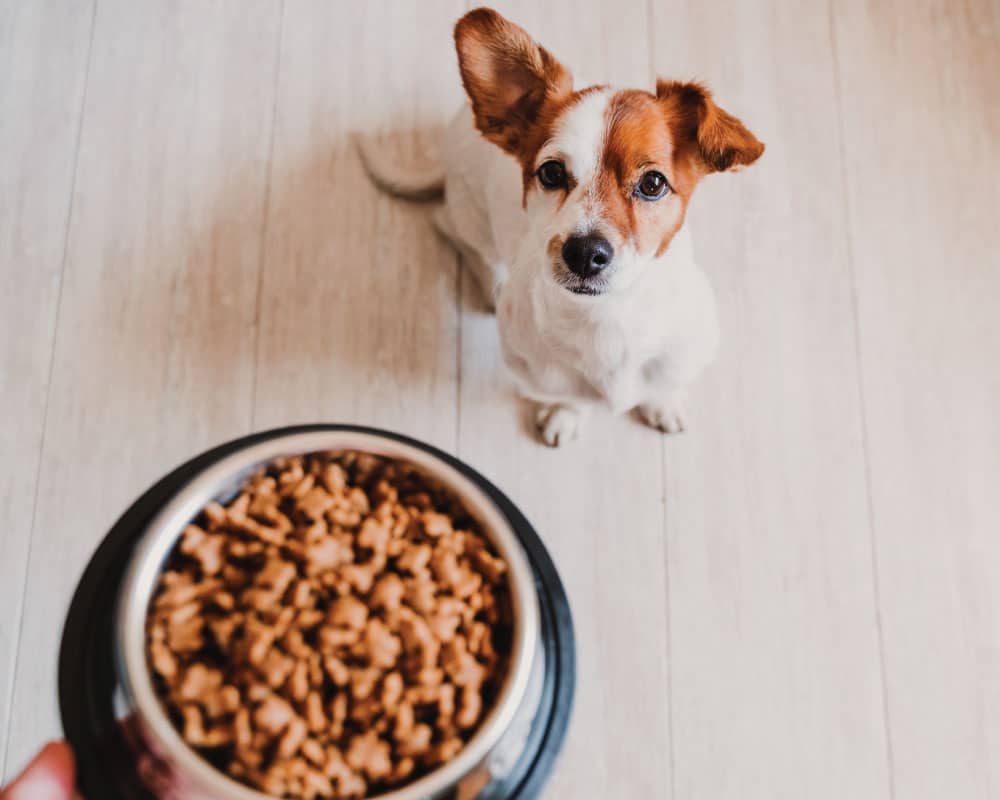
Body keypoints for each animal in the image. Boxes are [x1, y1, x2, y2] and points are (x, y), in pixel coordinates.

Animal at [360, 6, 764, 446]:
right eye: (551, 172)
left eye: (653, 183)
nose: (584, 253)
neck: (606, 319)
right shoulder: (540, 376)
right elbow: (569, 398)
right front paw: (566, 414)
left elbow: (664, 385)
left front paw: (663, 403)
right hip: (470, 219)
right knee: (453, 231)